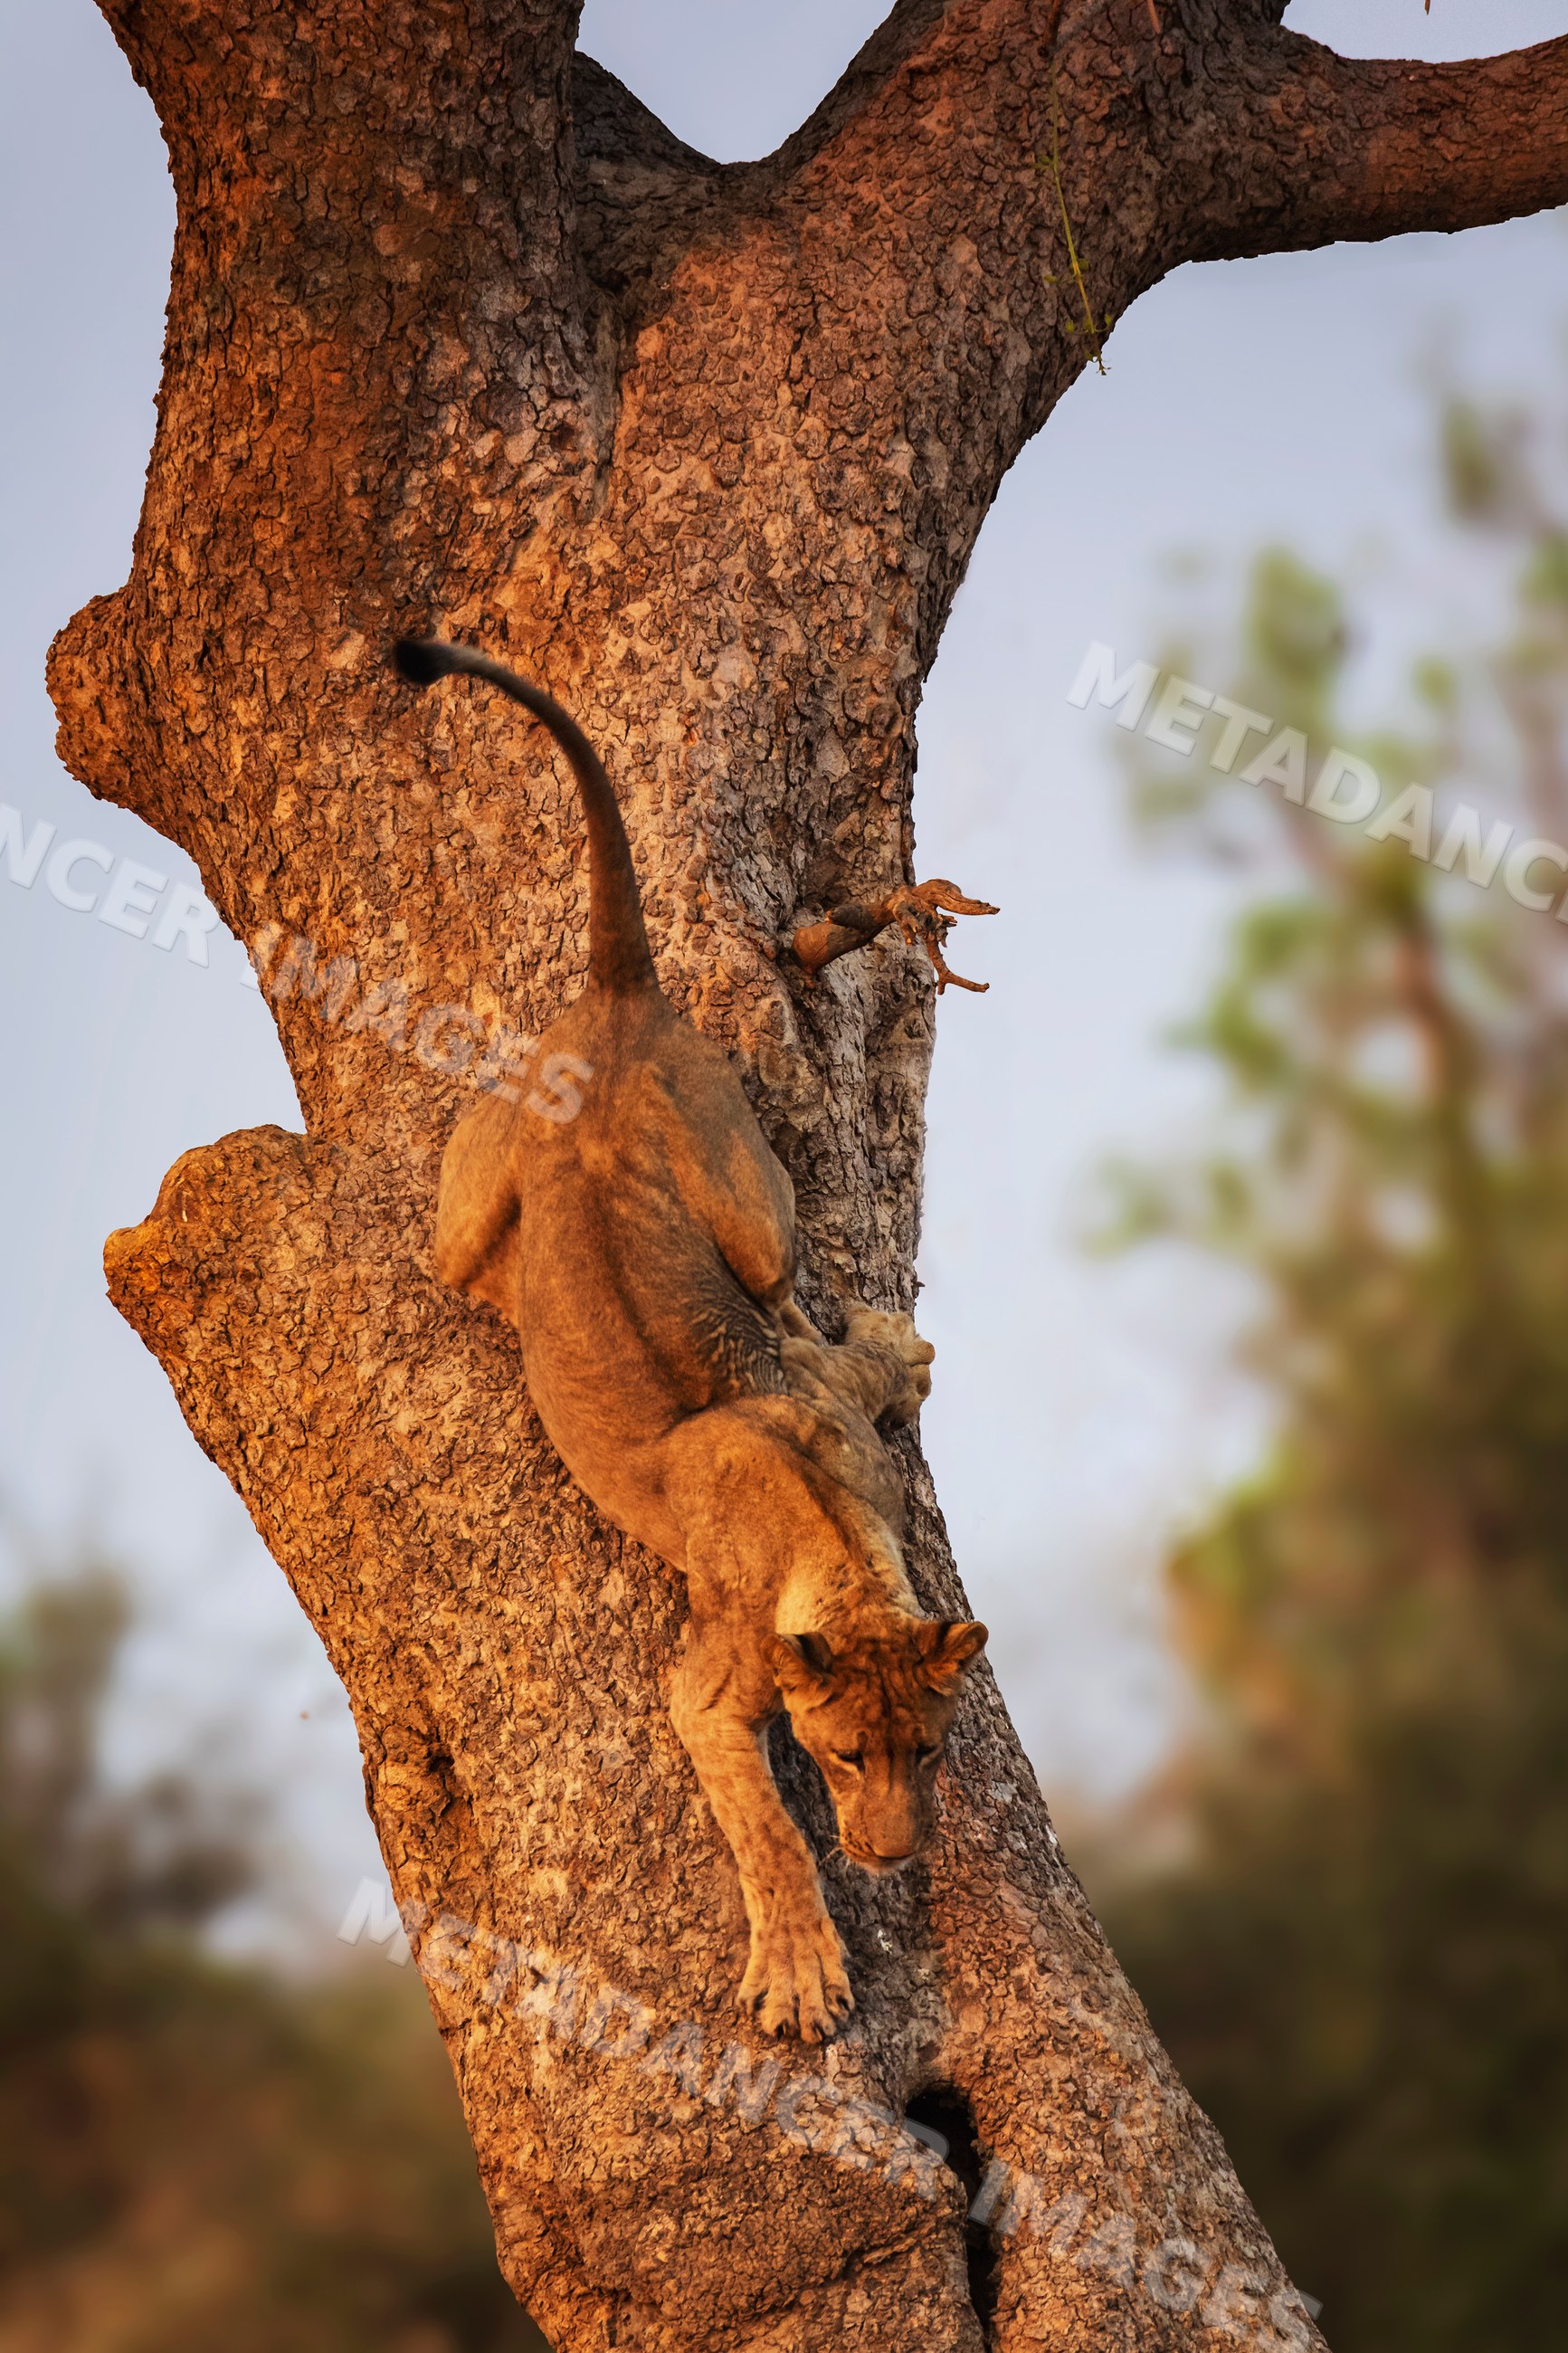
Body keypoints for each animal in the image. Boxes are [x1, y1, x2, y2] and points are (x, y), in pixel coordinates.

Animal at [394, 638, 987, 2042]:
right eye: (843, 1755)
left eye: (928, 1749)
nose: (891, 1852)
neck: (835, 1551)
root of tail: (616, 1006)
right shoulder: (705, 1687)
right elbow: (766, 1828)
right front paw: (803, 1976)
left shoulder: (825, 1413)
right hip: (728, 1204)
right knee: (757, 1273)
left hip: (603, 1212)